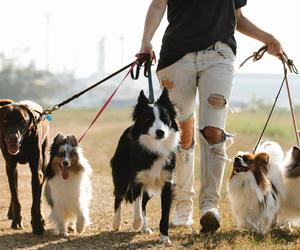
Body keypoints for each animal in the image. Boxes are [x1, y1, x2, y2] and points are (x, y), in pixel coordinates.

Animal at [0, 99, 49, 234]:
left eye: (23, 121)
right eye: (5, 121)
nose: (13, 138)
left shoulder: (37, 171)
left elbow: (36, 202)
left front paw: (37, 224)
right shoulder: (10, 167)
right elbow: (15, 198)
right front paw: (16, 221)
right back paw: (11, 212)